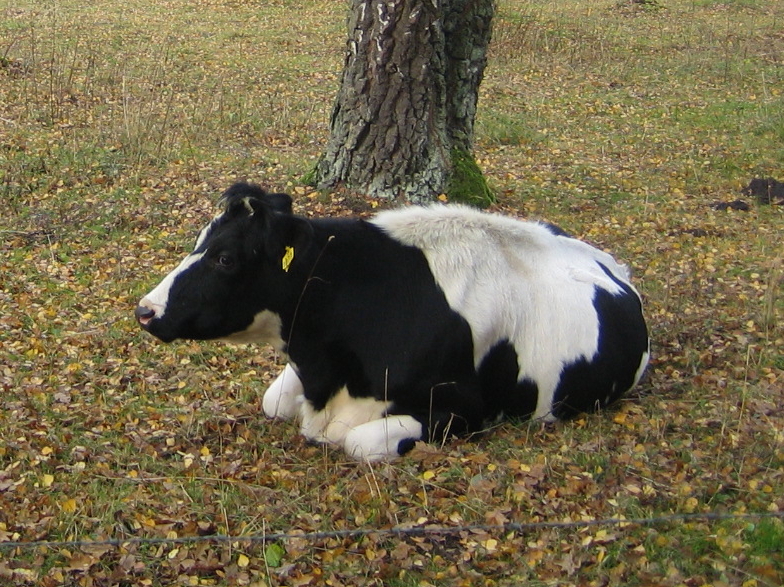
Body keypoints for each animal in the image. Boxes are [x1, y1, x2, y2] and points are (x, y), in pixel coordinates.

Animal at [135, 181, 648, 462]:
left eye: (224, 258)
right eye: (200, 242)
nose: (145, 310)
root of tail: (610, 263)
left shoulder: (465, 410)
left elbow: (360, 442)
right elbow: (274, 401)